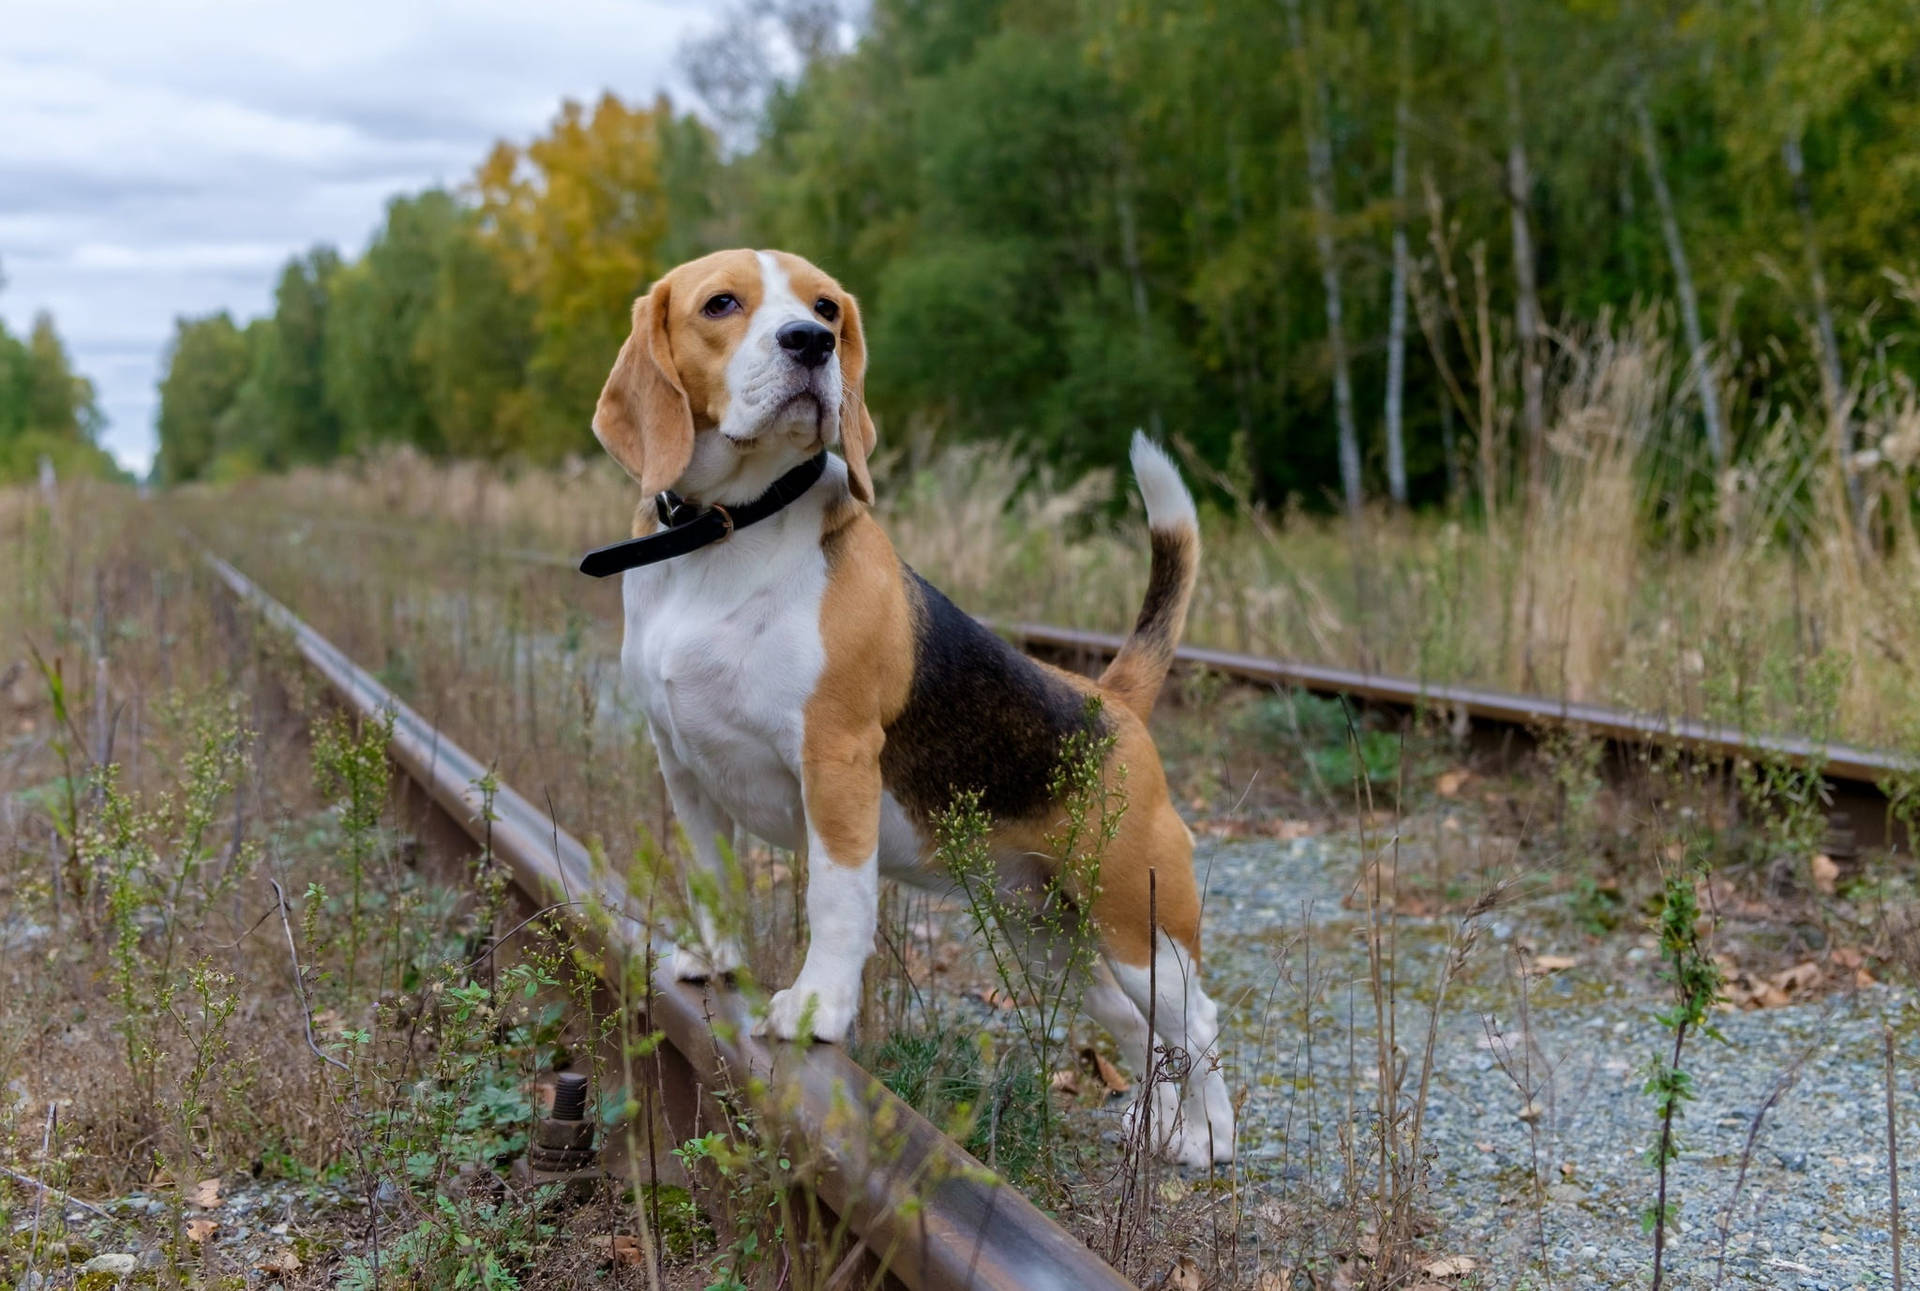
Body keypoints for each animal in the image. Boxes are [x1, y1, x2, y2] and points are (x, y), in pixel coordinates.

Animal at [591, 247, 1236, 1168]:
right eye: (721, 304)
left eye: (827, 306)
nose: (810, 342)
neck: (725, 536)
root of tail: (1111, 699)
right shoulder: (681, 766)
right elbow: (711, 874)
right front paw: (712, 958)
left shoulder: (835, 761)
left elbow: (835, 900)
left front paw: (816, 1009)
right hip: (1049, 935)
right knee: (1141, 1027)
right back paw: (1158, 1123)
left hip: (1137, 918)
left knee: (1196, 1018)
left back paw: (1205, 1135)